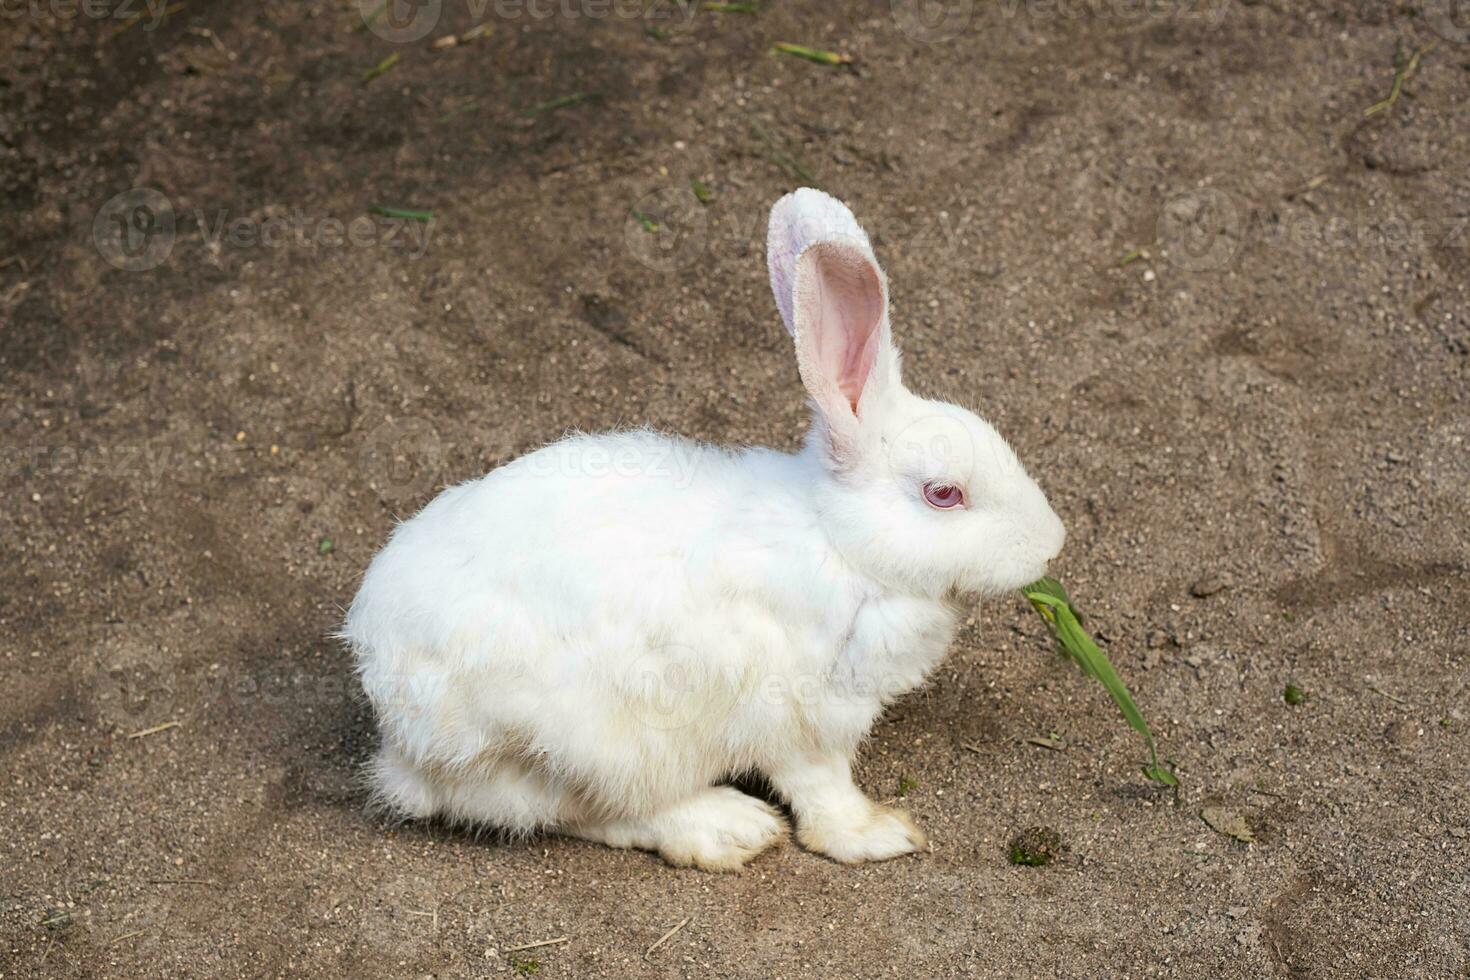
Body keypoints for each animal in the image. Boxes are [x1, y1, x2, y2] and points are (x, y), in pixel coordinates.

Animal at [343, 189, 1058, 863]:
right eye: (944, 494)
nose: (1053, 545)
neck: (841, 542)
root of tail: (400, 733)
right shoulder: (800, 714)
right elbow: (821, 789)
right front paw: (877, 834)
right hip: (585, 743)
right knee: (582, 811)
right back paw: (726, 828)